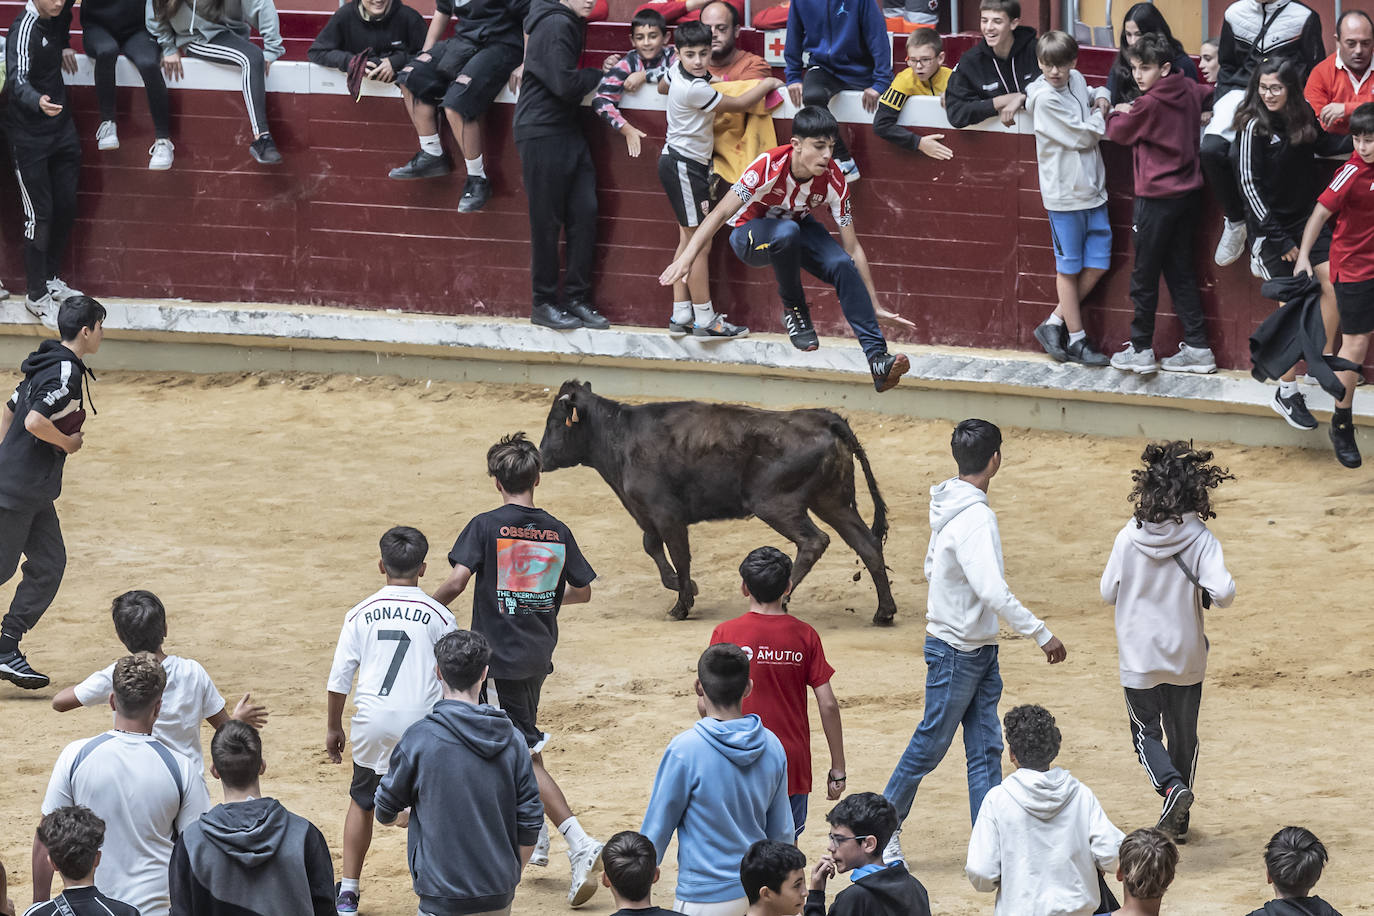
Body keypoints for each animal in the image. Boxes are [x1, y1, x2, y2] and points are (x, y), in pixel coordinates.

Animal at [535, 379, 901, 623]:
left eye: (555, 422)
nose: (541, 457)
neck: (620, 435)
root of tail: (825, 417)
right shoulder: (645, 512)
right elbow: (651, 546)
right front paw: (683, 587)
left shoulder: (666, 514)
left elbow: (679, 555)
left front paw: (681, 605)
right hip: (832, 501)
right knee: (867, 544)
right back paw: (884, 612)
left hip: (775, 503)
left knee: (814, 540)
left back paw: (783, 599)